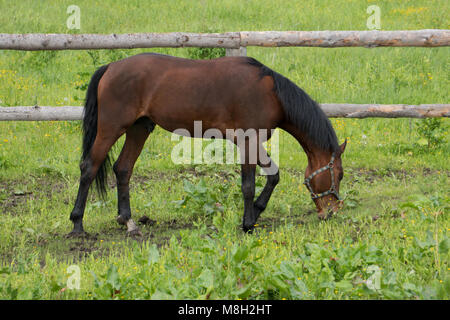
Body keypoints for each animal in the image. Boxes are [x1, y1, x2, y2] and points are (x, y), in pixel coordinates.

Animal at [68, 53, 346, 238]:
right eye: (340, 175)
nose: (332, 212)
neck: (271, 94)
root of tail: (110, 67)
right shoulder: (247, 141)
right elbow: (248, 185)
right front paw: (247, 223)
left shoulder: (253, 142)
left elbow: (273, 176)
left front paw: (256, 213)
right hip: (110, 129)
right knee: (89, 167)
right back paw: (77, 224)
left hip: (139, 129)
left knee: (123, 168)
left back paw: (128, 221)